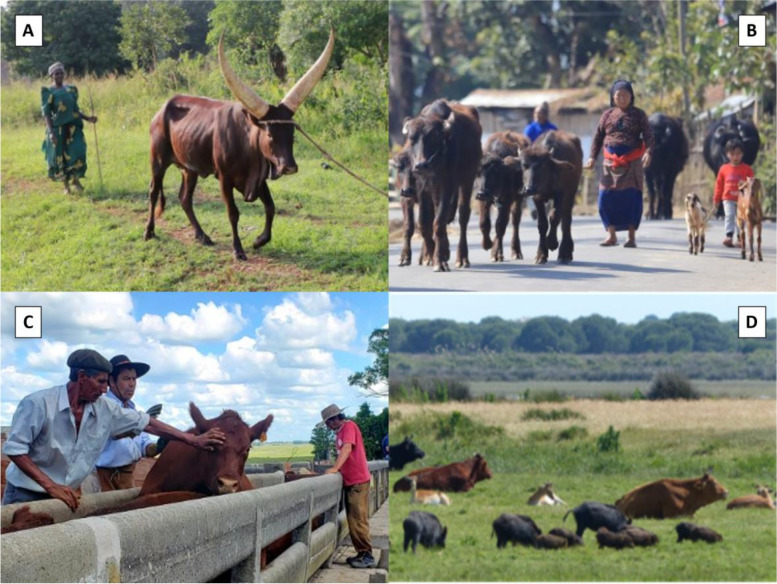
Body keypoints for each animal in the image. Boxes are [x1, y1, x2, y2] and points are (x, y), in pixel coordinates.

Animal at [144, 29, 334, 260]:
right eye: (269, 134)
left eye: (292, 134)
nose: (289, 167)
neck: (247, 145)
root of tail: (161, 110)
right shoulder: (224, 178)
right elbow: (233, 213)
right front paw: (238, 249)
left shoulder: (259, 178)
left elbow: (270, 207)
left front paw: (260, 240)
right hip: (158, 161)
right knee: (154, 192)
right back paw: (149, 231)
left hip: (190, 168)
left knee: (185, 198)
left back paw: (202, 236)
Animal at [476, 132, 532, 262]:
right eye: (478, 173)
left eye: (494, 172)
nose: (481, 193)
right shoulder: (484, 201)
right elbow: (484, 222)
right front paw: (487, 244)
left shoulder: (506, 201)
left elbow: (500, 226)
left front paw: (494, 252)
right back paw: (499, 253)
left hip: (518, 200)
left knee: (515, 222)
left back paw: (516, 251)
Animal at [520, 131, 584, 264]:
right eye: (524, 165)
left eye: (542, 166)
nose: (528, 189)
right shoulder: (537, 198)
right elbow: (542, 224)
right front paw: (540, 255)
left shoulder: (561, 195)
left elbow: (555, 217)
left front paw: (552, 242)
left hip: (571, 193)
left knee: (566, 221)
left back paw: (565, 252)